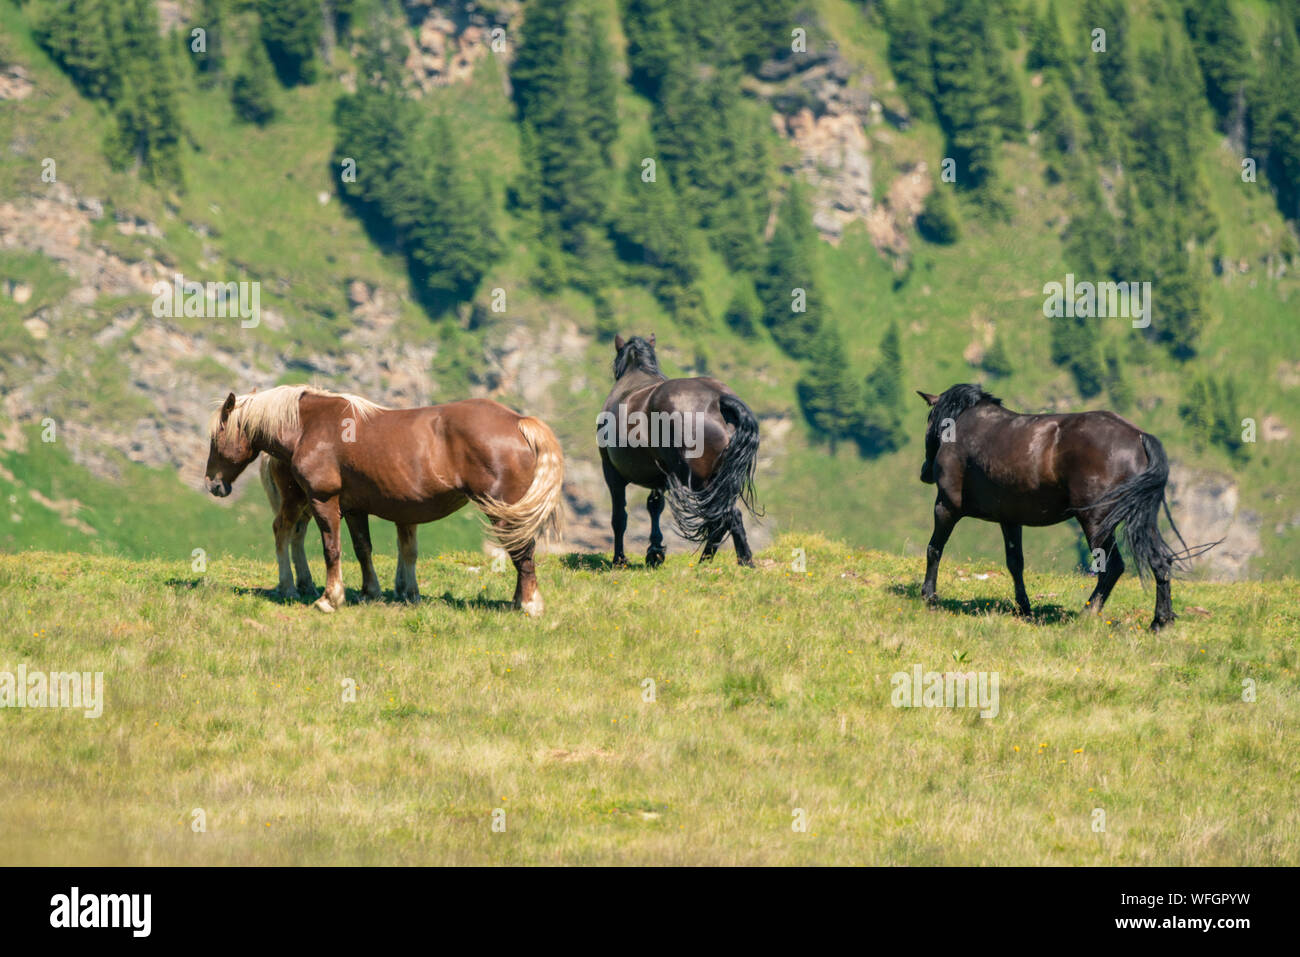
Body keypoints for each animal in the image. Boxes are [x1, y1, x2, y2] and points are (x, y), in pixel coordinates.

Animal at [204, 387, 564, 616]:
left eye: (215, 437)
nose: (213, 484)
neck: (309, 426)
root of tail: (518, 422)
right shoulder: (353, 507)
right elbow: (363, 548)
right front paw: (369, 592)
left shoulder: (324, 500)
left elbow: (332, 549)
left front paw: (330, 598)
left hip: (502, 509)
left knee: (522, 551)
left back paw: (529, 604)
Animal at [598, 332, 759, 564]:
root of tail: (718, 398)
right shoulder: (659, 476)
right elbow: (654, 507)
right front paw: (654, 551)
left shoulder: (612, 472)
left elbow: (619, 518)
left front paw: (619, 559)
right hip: (724, 479)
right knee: (722, 517)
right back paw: (707, 562)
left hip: (701, 481)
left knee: (726, 516)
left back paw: (741, 561)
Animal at [909, 384, 1201, 631]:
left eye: (930, 420)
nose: (924, 472)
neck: (965, 425)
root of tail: (1139, 437)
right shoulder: (1010, 519)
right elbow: (1015, 563)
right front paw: (1024, 608)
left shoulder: (946, 506)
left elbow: (934, 549)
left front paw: (929, 595)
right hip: (1140, 519)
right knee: (1160, 562)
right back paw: (1160, 621)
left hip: (1095, 521)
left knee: (1113, 567)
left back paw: (1087, 614)